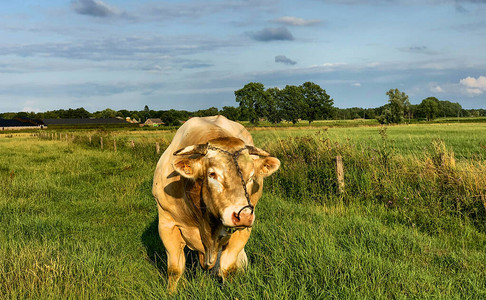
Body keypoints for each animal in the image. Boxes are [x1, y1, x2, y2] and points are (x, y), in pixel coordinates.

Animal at [152, 115, 280, 292]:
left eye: (251, 176)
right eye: (212, 174)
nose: (243, 215)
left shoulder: (243, 231)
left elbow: (228, 267)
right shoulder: (166, 224)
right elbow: (175, 269)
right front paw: (172, 293)